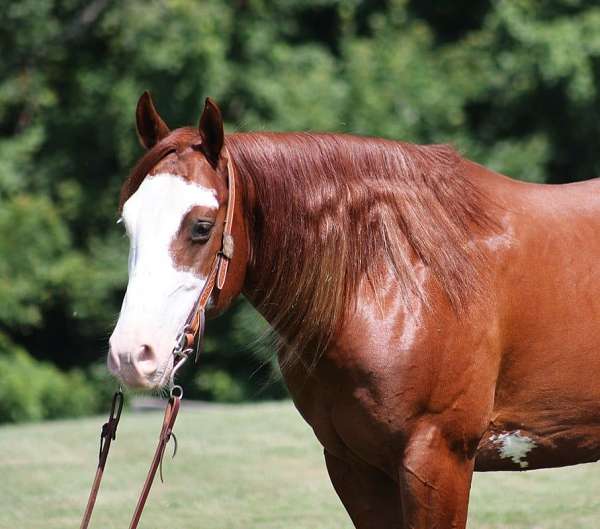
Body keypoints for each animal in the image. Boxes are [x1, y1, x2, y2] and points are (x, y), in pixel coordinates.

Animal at [108, 93, 600, 524]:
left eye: (201, 226)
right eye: (126, 224)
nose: (131, 355)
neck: (392, 279)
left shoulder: (439, 458)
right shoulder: (352, 466)